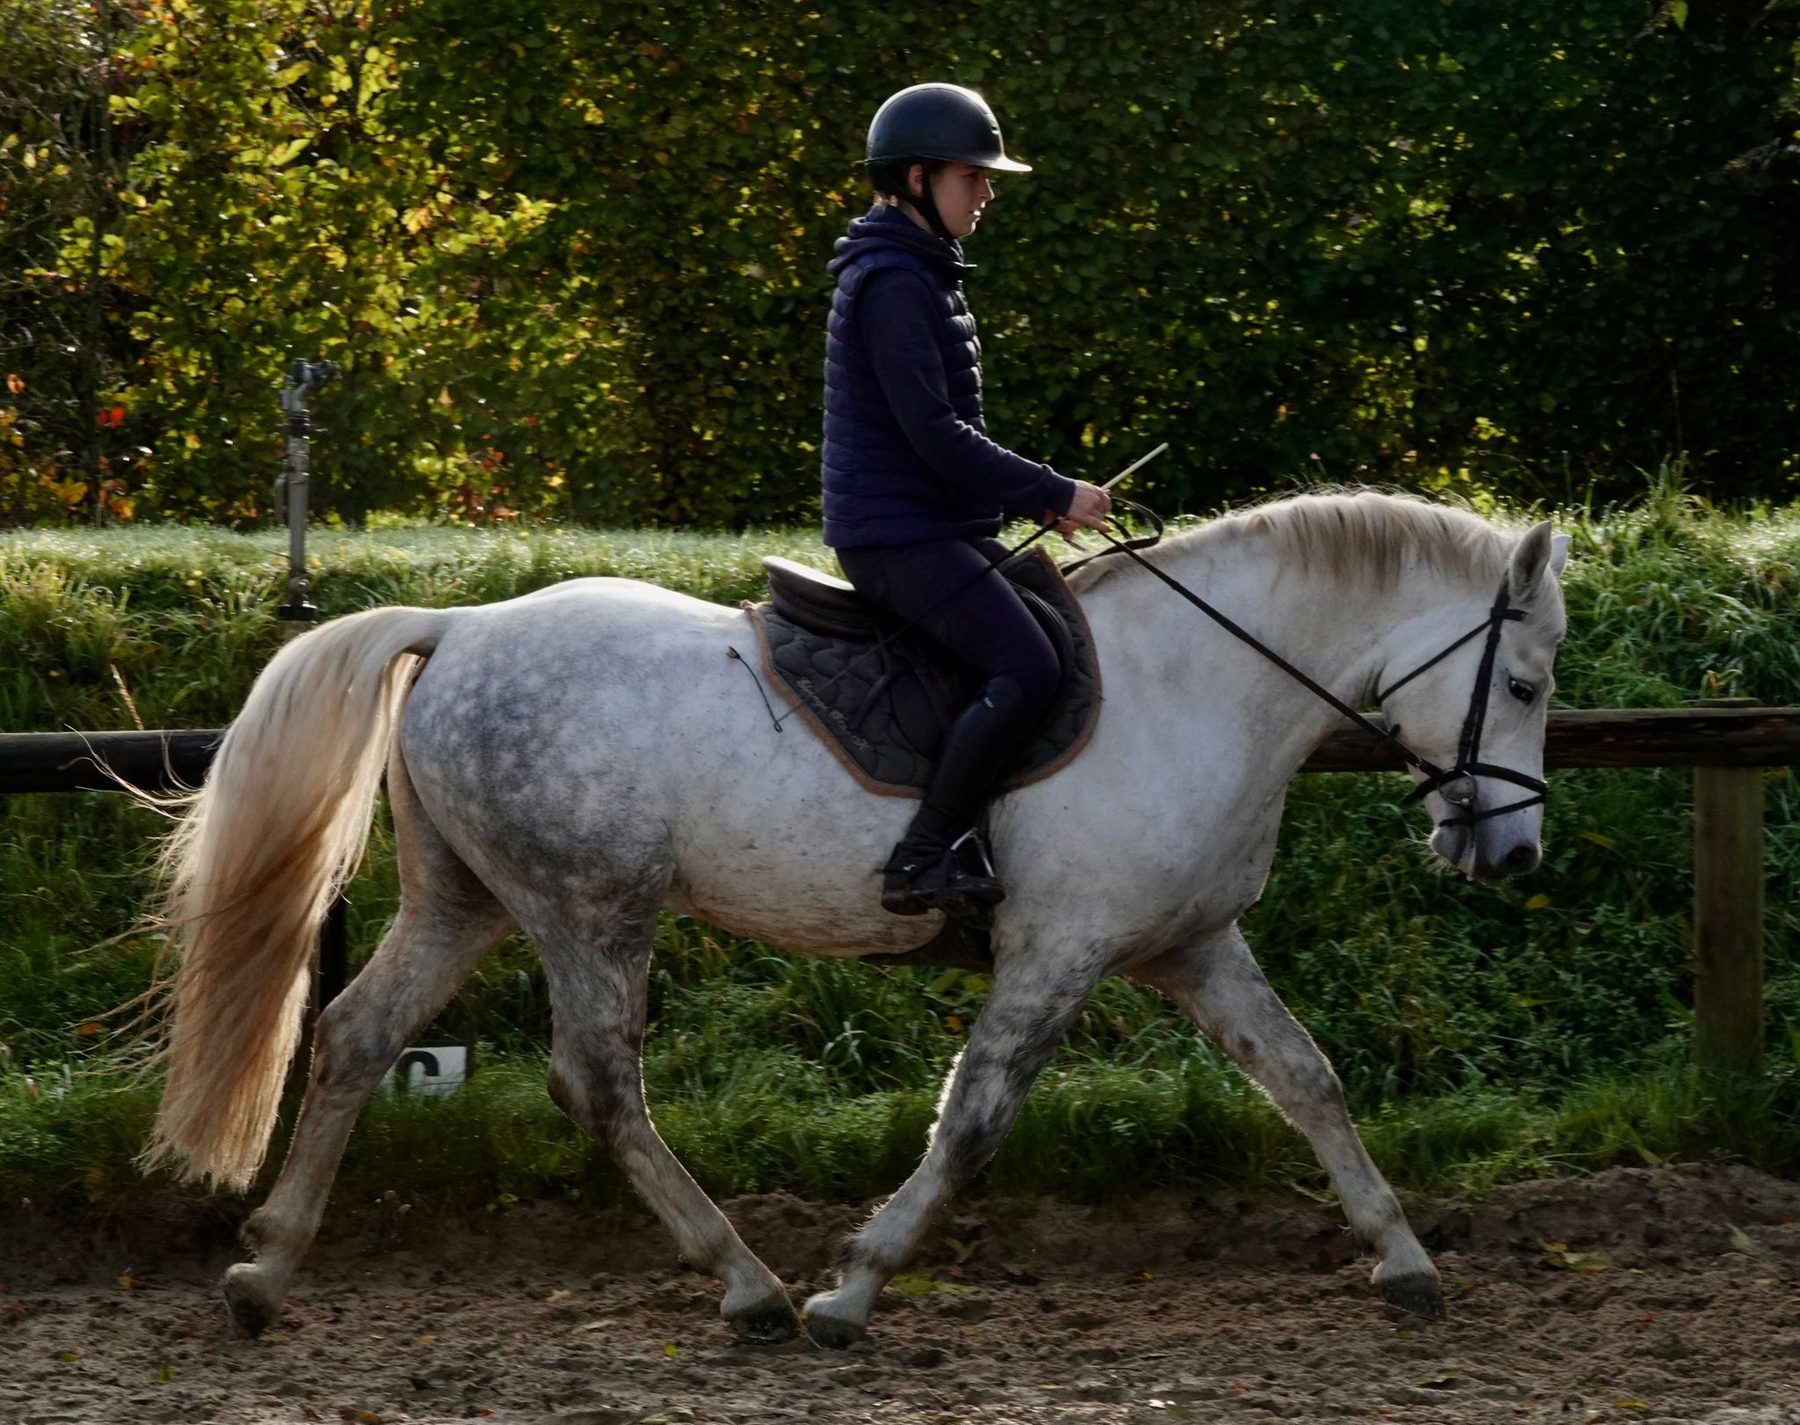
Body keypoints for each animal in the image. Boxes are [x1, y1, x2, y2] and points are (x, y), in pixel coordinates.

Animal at [141, 490, 1568, 1346]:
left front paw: (1405, 1264)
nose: (1510, 854)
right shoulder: (1058, 952)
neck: (1199, 684)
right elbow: (975, 1119)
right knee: (596, 1083)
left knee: (356, 1037)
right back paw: (752, 1288)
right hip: (589, 906)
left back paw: (266, 1272)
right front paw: (852, 1286)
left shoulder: (1192, 948)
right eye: (1529, 681)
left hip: (470, 901)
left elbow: (1307, 1080)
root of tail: (461, 622)